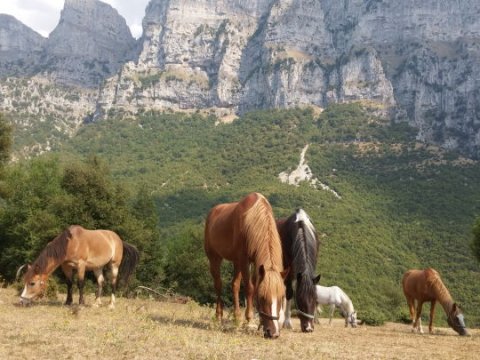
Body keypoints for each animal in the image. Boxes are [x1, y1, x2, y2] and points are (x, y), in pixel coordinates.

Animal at [204, 193, 286, 338]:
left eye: (281, 297)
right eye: (263, 298)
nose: (273, 333)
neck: (252, 219)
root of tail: (213, 212)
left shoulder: (254, 263)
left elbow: (250, 286)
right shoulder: (244, 260)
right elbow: (250, 288)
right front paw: (249, 320)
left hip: (236, 262)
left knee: (235, 285)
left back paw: (237, 318)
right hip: (215, 258)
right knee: (218, 284)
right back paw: (219, 316)